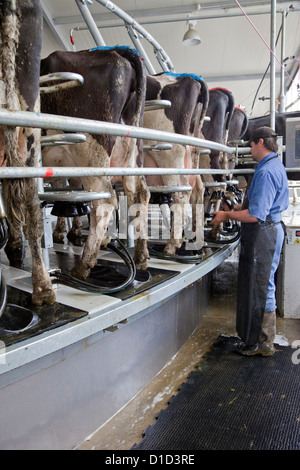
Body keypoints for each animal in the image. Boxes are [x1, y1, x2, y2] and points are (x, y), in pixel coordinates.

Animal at [40, 46, 150, 280]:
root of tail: (118, 51)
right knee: (138, 193)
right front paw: (67, 230)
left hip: (91, 153)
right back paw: (141, 257)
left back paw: (84, 265)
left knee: (105, 200)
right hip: (132, 153)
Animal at [142, 71, 209, 255]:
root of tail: (190, 78)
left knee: (180, 194)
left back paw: (172, 244)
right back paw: (196, 237)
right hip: (190, 155)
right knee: (198, 189)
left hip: (170, 154)